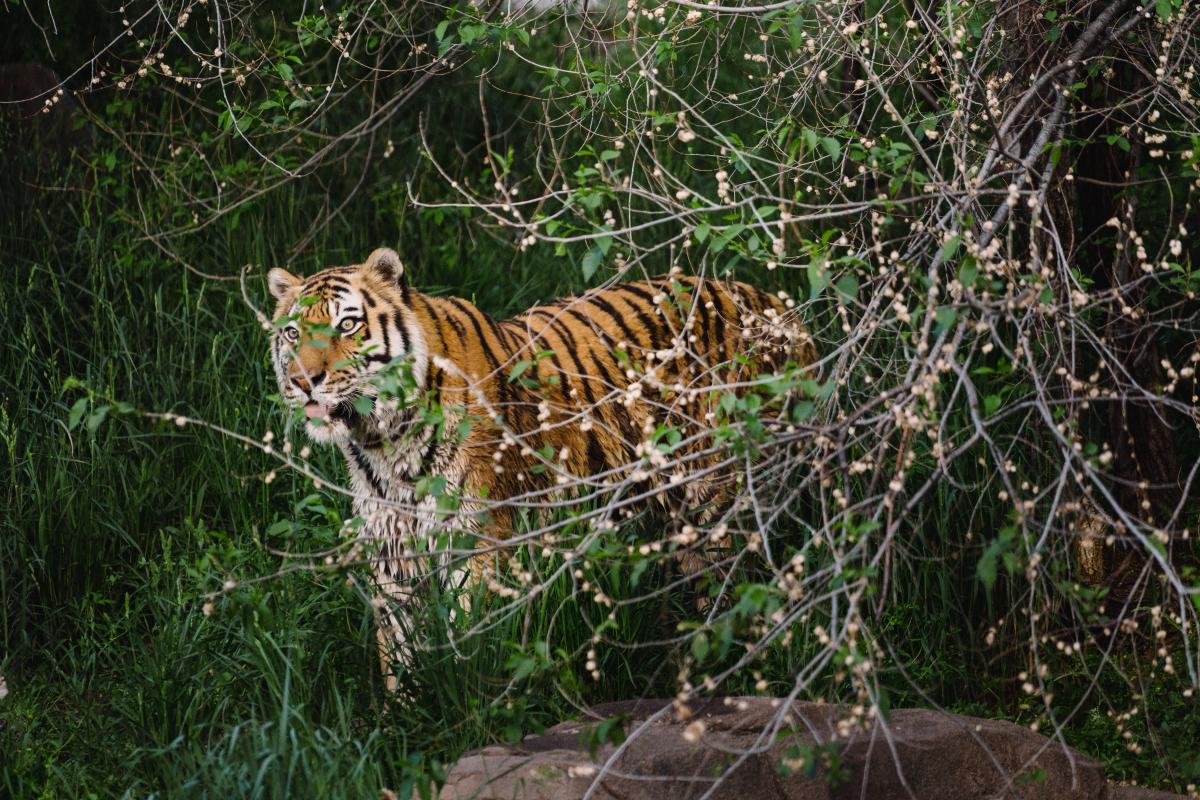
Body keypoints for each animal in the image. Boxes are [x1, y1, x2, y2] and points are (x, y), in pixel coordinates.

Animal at [270, 247, 816, 690]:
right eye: (293, 332)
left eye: (347, 325)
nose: (302, 381)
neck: (384, 443)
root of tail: (781, 309)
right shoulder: (394, 556)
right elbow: (401, 658)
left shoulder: (478, 545)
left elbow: (471, 646)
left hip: (723, 504)